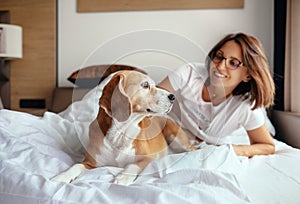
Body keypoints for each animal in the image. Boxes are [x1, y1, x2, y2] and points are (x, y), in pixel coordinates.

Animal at [51, 69, 197, 185]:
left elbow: (133, 165)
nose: (173, 96)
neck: (121, 132)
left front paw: (123, 177)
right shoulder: (89, 163)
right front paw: (61, 176)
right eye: (145, 85)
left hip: (176, 137)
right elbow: (76, 166)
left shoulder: (149, 158)